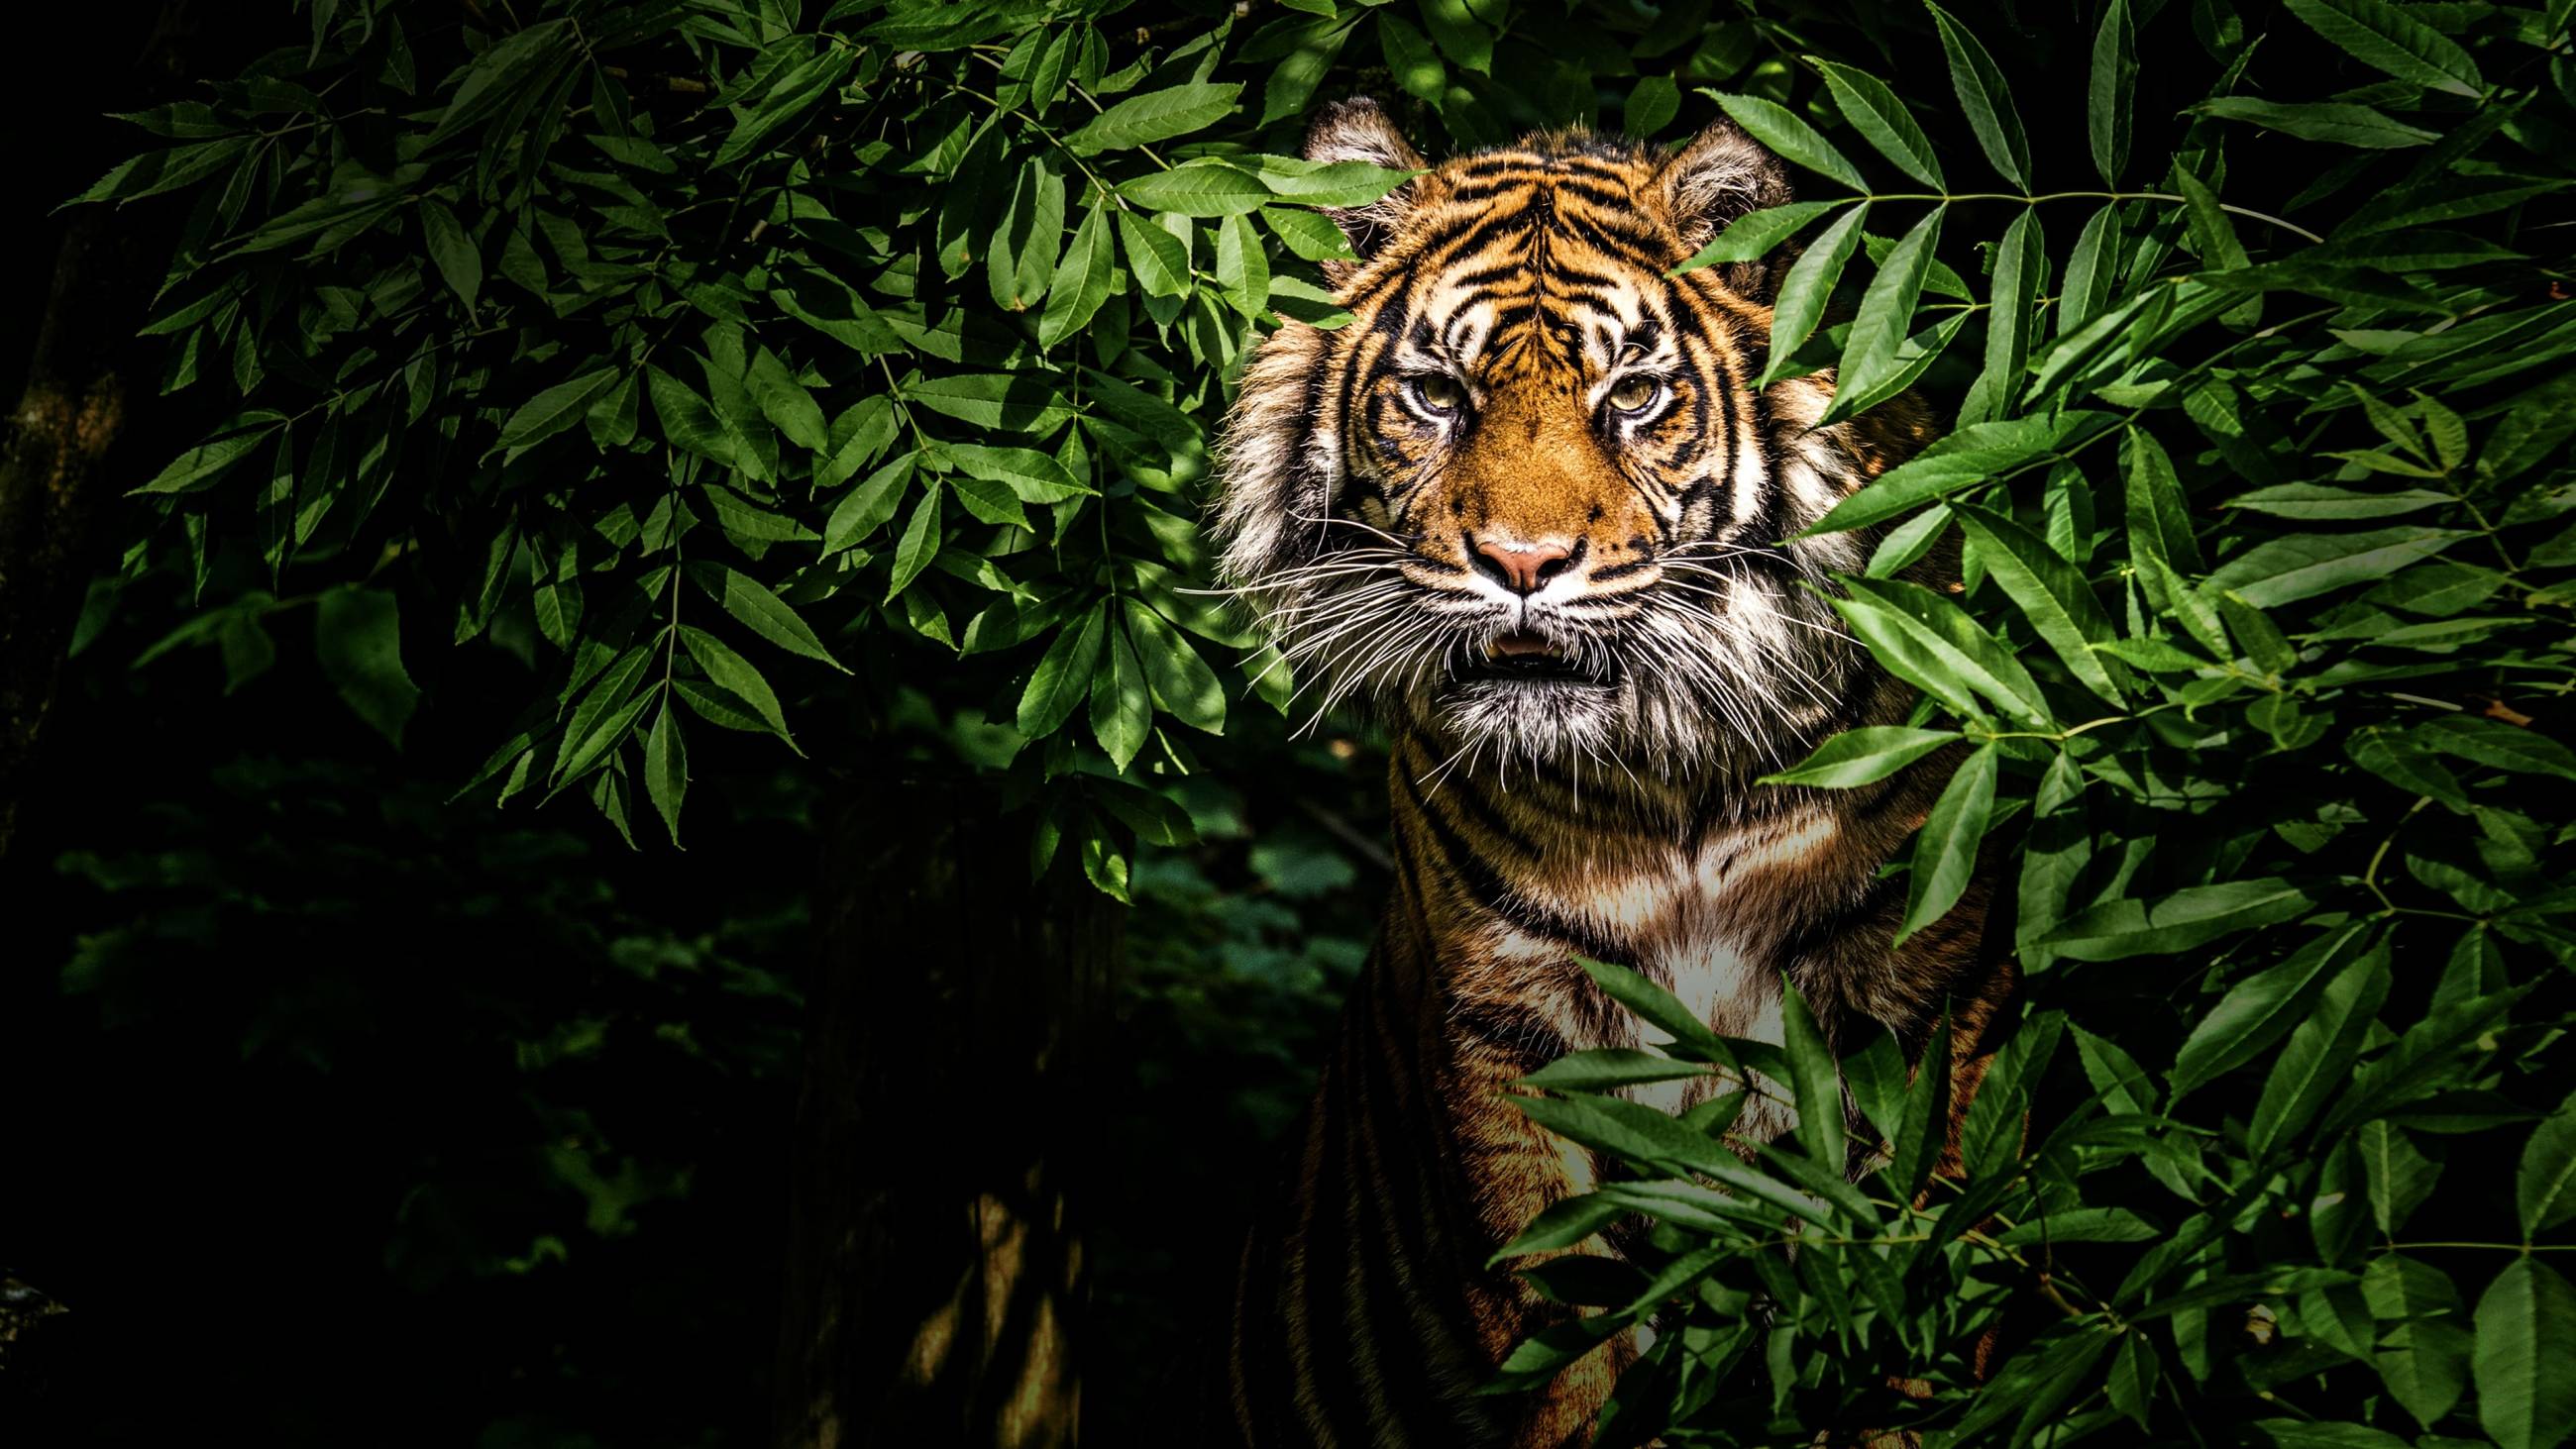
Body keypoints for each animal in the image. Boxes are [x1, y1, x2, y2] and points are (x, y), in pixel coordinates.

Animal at [1216, 96, 2019, 1441]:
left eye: (1633, 395)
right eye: (1435, 394)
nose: (1521, 562)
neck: (1667, 784)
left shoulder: (1919, 1009)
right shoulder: (1515, 1036)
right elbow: (1565, 1337)